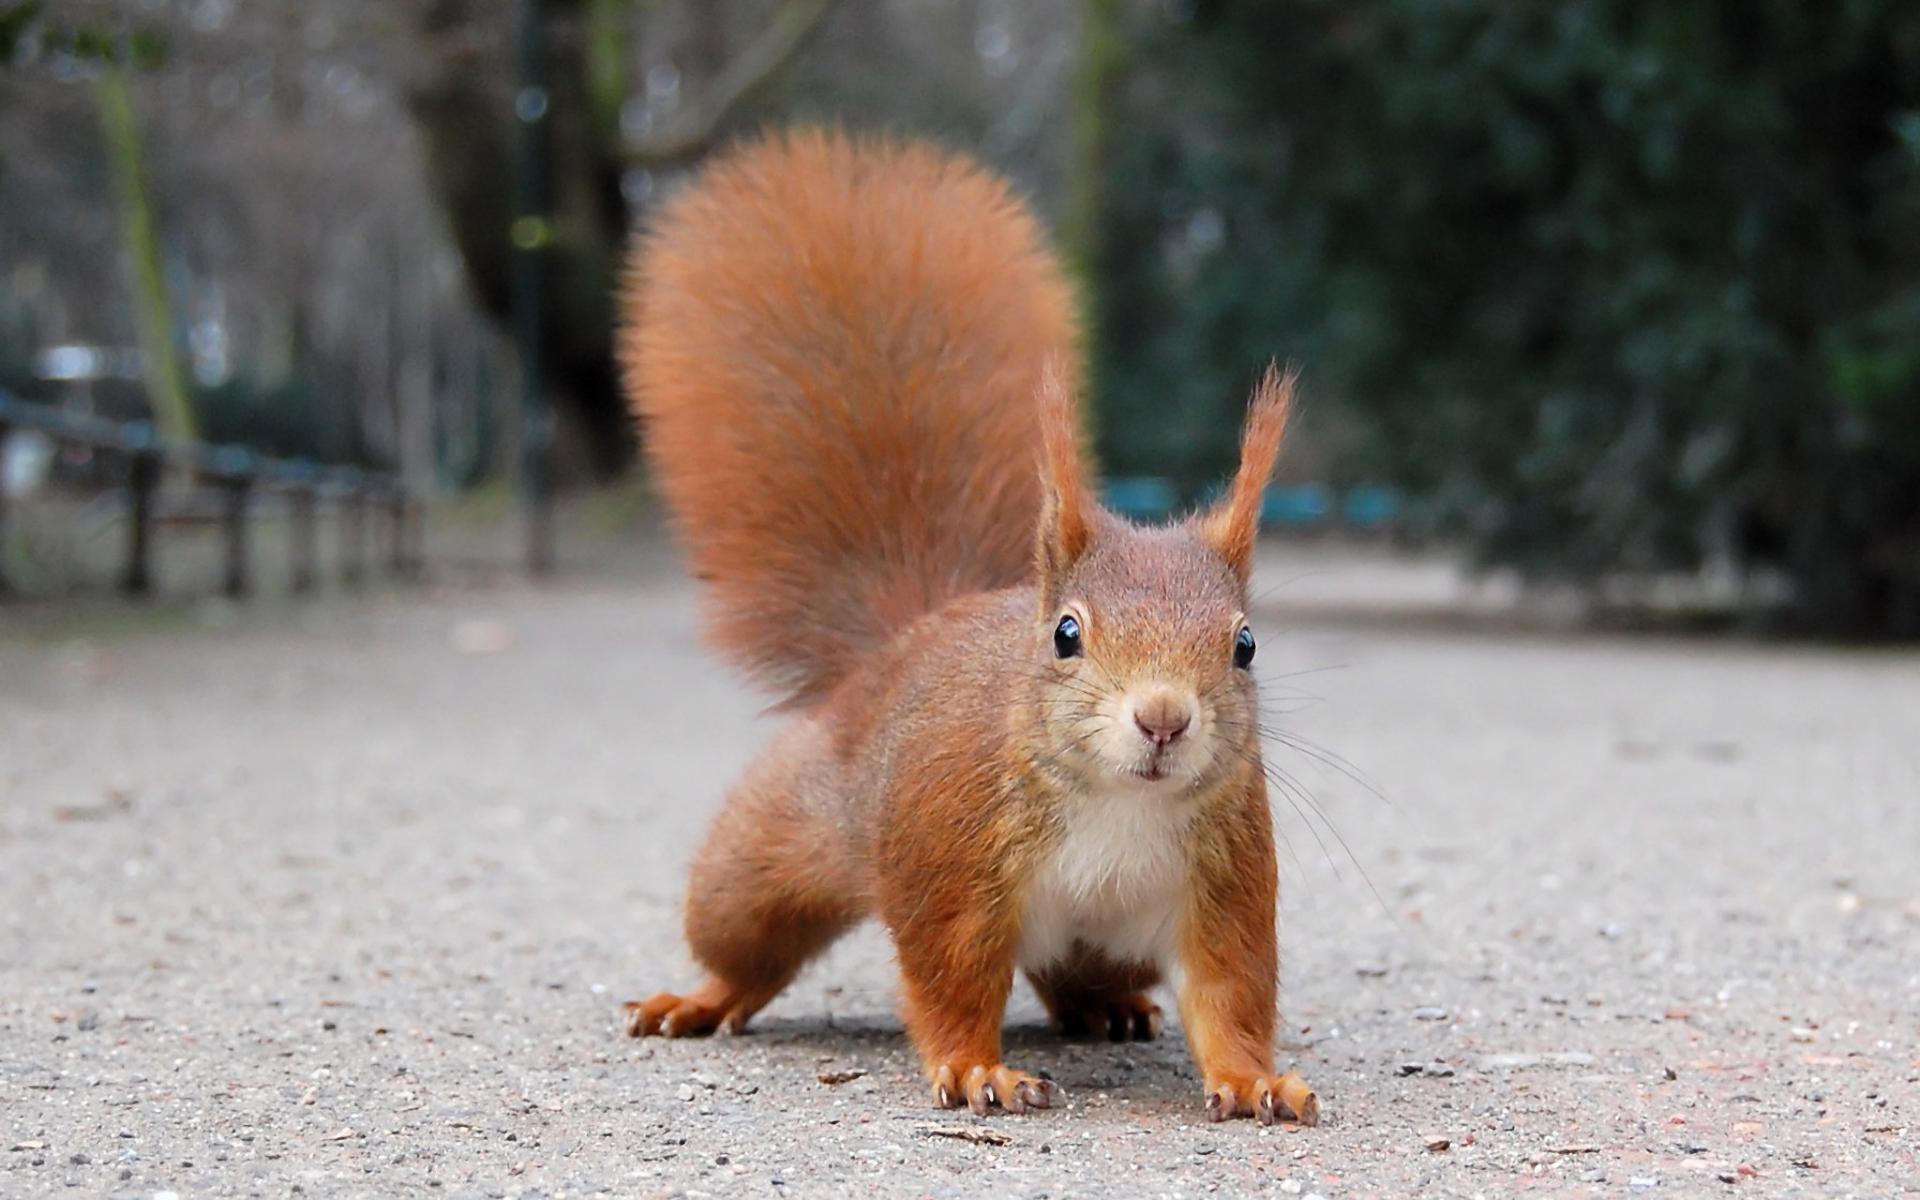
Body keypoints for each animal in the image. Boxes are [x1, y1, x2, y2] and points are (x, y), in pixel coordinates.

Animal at [616, 128, 1318, 1127]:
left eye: (1246, 645)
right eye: (1065, 635)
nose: (1163, 719)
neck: (1119, 802)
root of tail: (901, 640)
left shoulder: (1224, 884)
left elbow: (1231, 994)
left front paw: (1256, 1078)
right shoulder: (949, 862)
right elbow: (952, 978)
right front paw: (979, 1068)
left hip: (1109, 942)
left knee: (1076, 974)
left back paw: (1108, 1009)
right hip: (768, 852)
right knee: (746, 943)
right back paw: (701, 999)